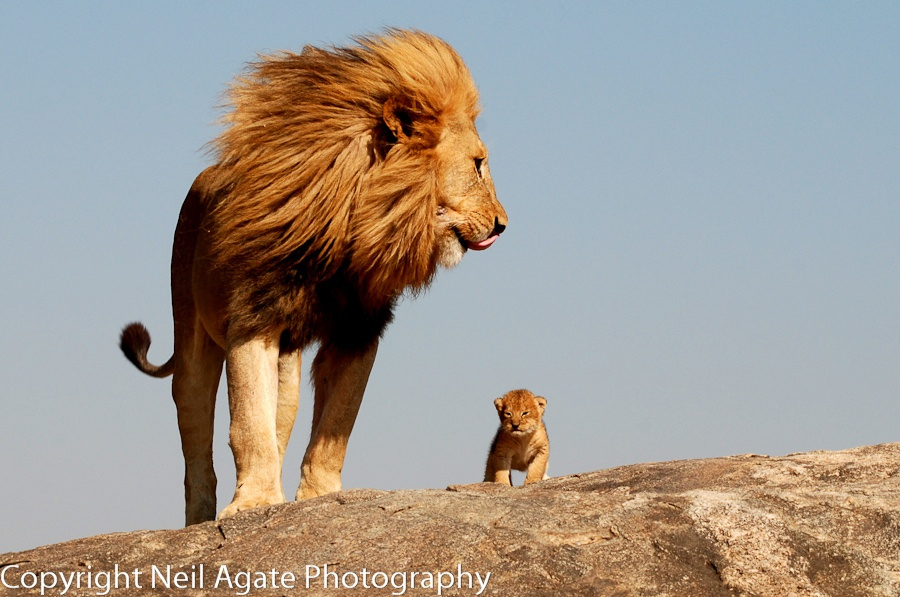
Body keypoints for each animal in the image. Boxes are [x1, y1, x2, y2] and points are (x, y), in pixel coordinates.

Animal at [119, 30, 506, 524]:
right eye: (478, 164)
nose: (502, 224)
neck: (350, 227)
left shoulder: (359, 330)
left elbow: (335, 428)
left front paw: (317, 498)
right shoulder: (253, 320)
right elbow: (248, 424)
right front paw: (254, 504)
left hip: (288, 366)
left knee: (280, 420)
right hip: (191, 338)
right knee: (196, 433)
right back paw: (201, 518)